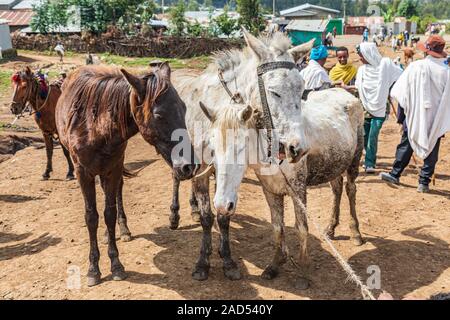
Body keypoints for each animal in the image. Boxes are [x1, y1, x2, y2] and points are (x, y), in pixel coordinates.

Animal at [55, 63, 198, 286]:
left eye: (183, 109)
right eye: (159, 115)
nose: (189, 166)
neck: (92, 125)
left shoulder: (113, 169)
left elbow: (109, 213)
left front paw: (116, 264)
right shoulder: (83, 173)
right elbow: (91, 217)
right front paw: (93, 269)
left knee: (117, 194)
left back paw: (121, 230)